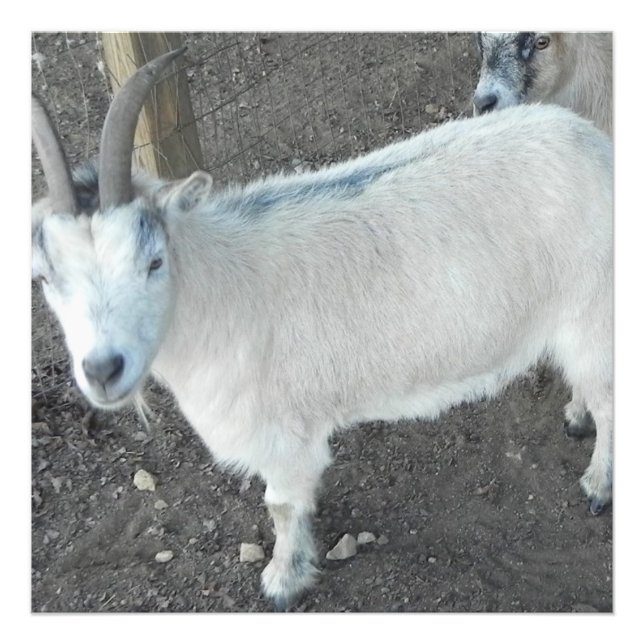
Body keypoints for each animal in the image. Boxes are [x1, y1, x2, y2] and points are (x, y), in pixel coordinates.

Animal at [32, 48, 613, 610]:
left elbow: (283, 506)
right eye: (43, 276)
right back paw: (576, 414)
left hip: (593, 309)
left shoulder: (284, 435)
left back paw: (598, 484)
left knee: (610, 401)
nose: (103, 370)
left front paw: (283, 581)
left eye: (153, 261)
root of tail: (597, 147)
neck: (216, 291)